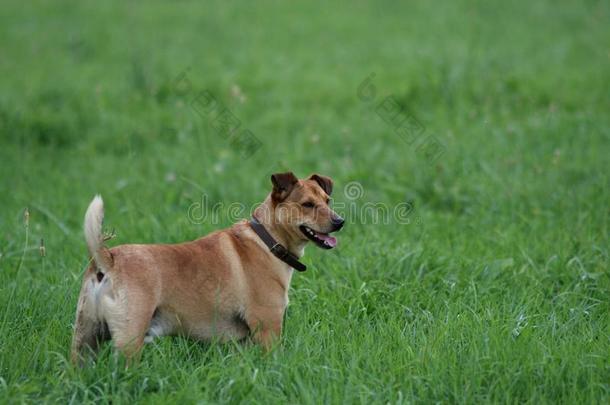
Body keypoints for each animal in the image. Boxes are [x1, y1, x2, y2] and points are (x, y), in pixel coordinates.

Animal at [70, 172, 342, 362]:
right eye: (307, 205)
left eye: (328, 200)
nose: (340, 221)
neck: (268, 240)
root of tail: (108, 259)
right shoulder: (268, 330)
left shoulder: (242, 342)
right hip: (129, 339)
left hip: (84, 340)